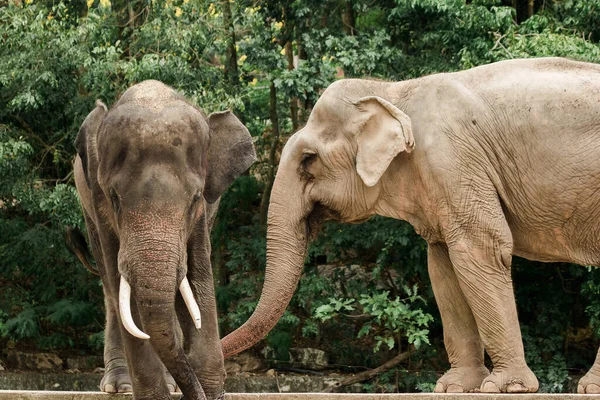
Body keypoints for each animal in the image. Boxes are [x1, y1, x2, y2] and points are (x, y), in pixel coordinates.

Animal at [73, 79, 255, 398]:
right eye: (114, 198)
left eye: (195, 198)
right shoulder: (97, 201)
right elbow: (124, 292)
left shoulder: (202, 217)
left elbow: (199, 280)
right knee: (112, 292)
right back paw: (119, 385)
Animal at [223, 56, 600, 394]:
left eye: (307, 160)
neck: (391, 91)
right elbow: (442, 264)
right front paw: (453, 387)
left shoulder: (453, 161)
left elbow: (481, 247)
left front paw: (506, 387)